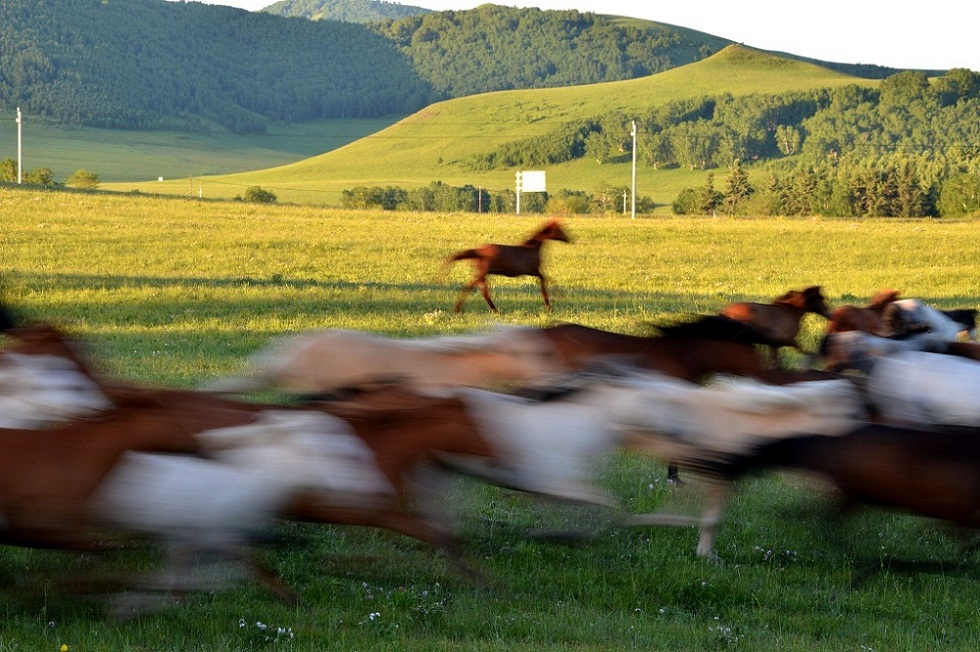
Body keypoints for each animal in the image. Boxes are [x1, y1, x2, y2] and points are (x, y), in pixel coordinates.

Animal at [442, 219, 572, 314]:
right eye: (559, 229)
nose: (569, 239)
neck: (532, 248)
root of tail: (479, 251)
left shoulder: (535, 272)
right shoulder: (535, 271)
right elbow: (546, 281)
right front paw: (552, 304)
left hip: (483, 274)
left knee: (482, 291)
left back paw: (493, 309)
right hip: (482, 273)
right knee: (472, 288)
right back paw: (460, 308)